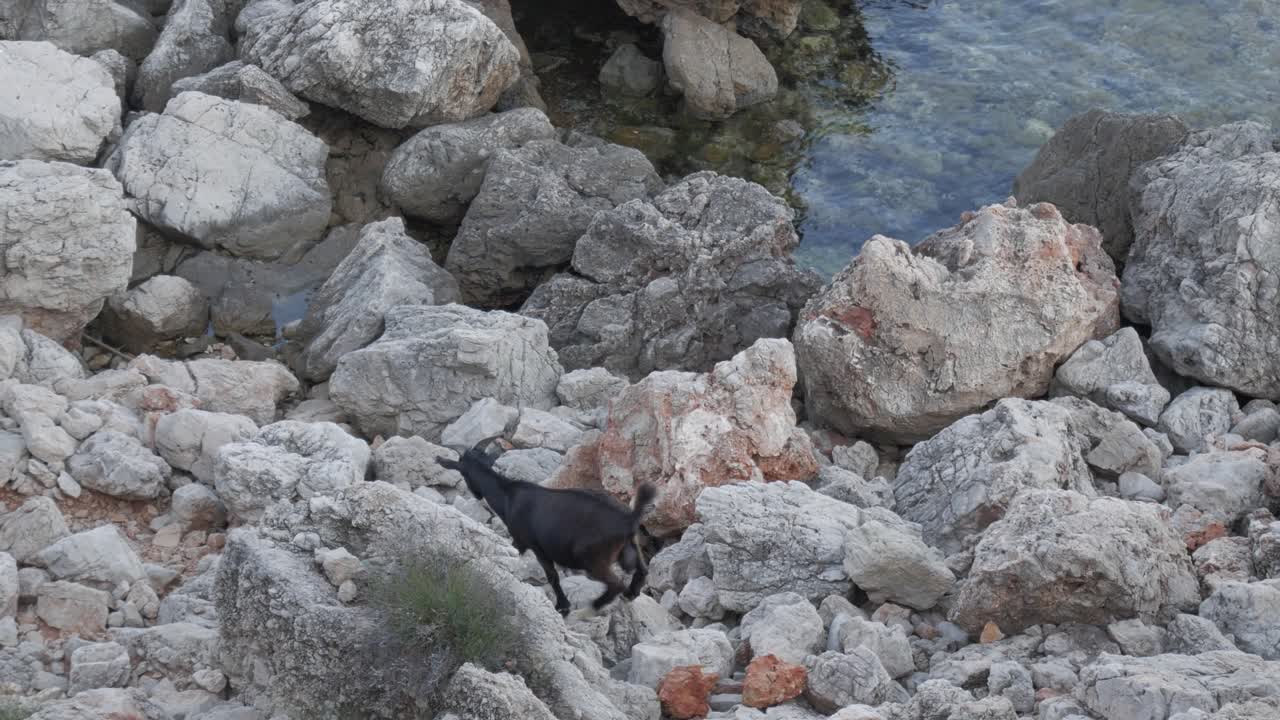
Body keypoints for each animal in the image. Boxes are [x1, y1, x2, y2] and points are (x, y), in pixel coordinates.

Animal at [437, 448, 657, 616]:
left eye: (463, 472)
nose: (475, 494)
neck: (509, 496)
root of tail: (629, 519)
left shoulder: (530, 543)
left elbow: (552, 576)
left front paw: (563, 606)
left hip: (592, 557)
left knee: (615, 583)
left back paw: (589, 609)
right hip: (631, 544)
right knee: (642, 570)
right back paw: (629, 595)